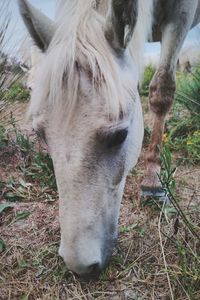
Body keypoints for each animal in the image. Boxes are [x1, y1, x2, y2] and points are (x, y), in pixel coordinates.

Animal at [18, 0, 200, 278]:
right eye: (41, 135)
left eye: (120, 135)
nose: (80, 265)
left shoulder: (181, 15)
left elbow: (161, 91)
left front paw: (152, 179)